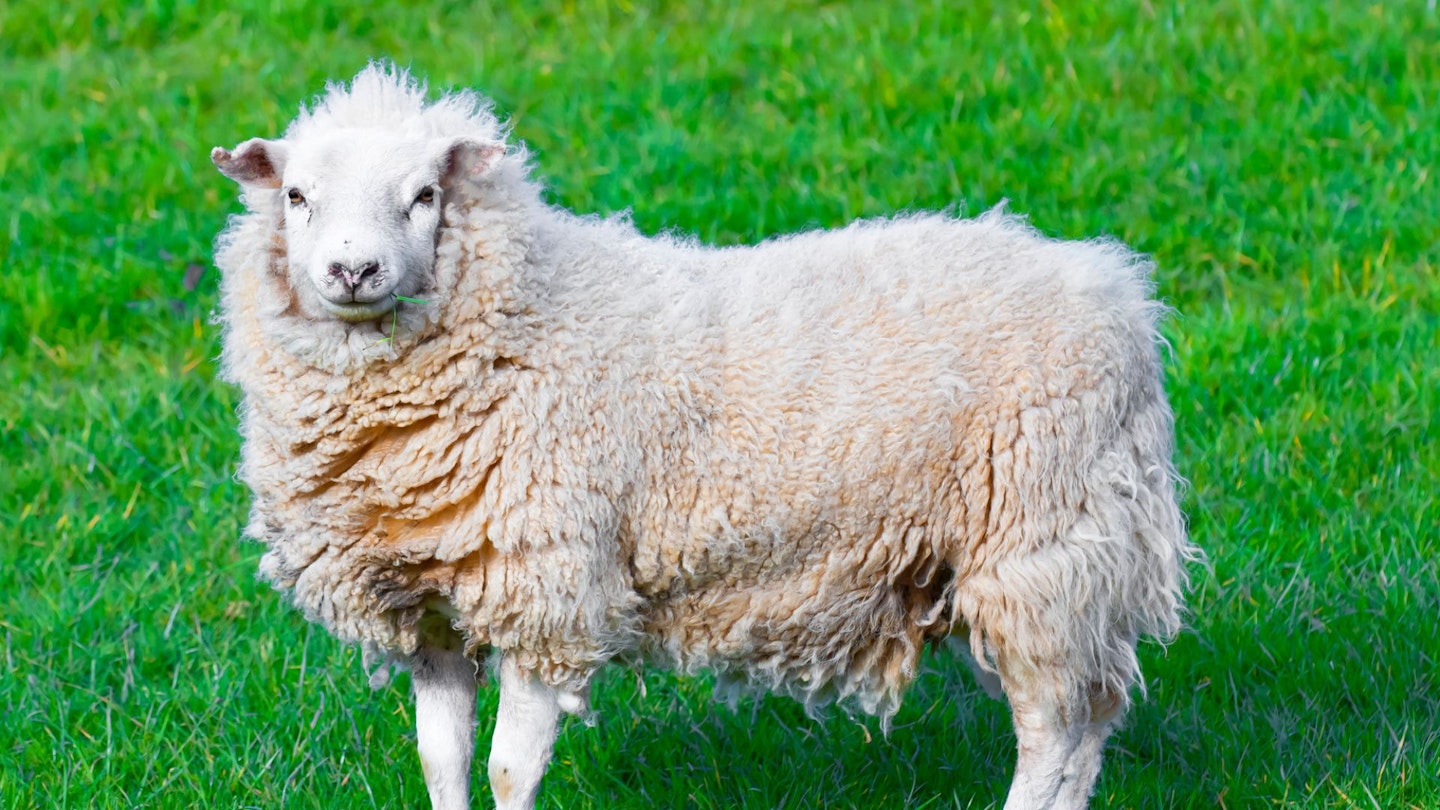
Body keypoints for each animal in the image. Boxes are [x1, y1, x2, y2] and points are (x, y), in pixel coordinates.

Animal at [210, 64, 1192, 807]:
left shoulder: (551, 587)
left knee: (1052, 735)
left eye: (423, 195)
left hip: (1042, 546)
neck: (529, 313)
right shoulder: (433, 606)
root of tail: (1117, 290)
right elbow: (442, 762)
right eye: (296, 196)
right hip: (1041, 565)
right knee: (1085, 728)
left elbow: (507, 769)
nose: (352, 269)